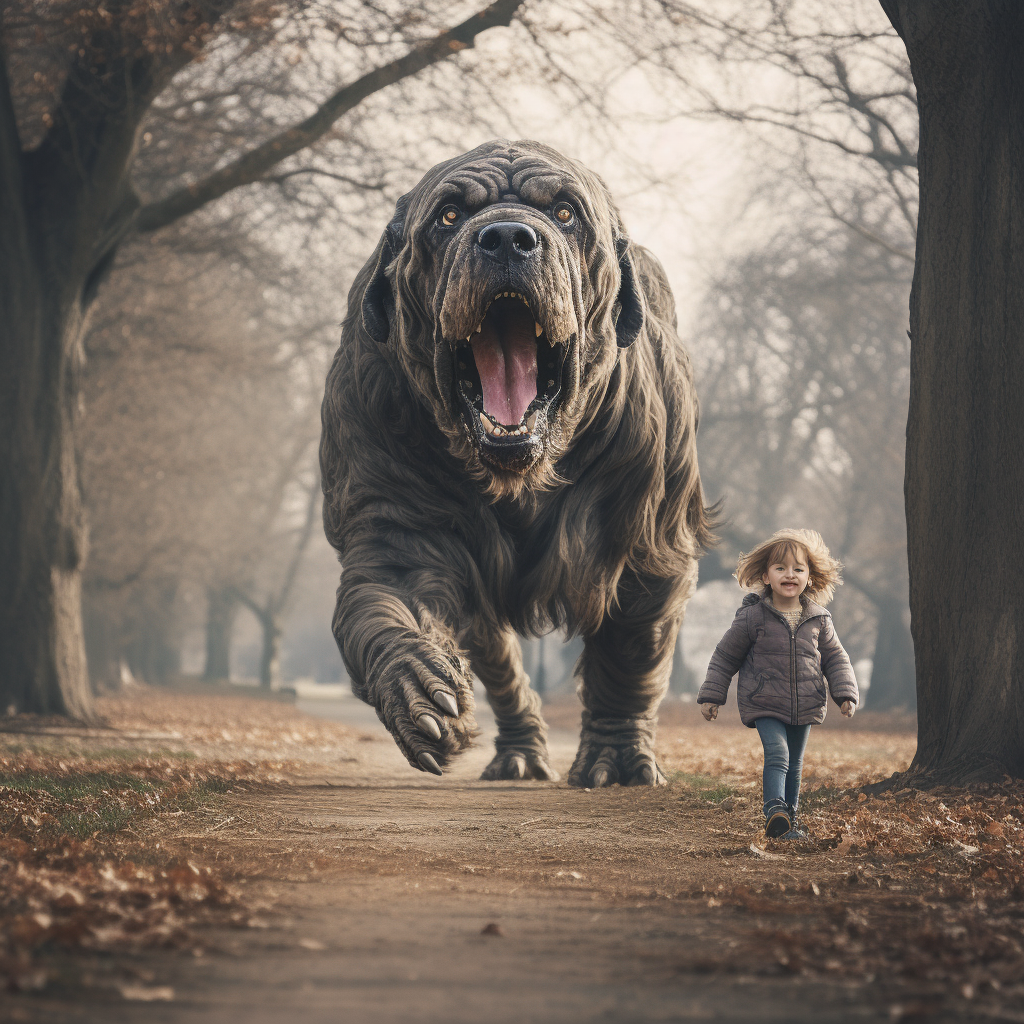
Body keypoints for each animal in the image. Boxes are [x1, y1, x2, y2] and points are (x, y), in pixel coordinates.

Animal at [321, 142, 712, 782]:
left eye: (565, 212)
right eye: (449, 215)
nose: (507, 236)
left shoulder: (647, 531)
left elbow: (629, 657)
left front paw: (617, 755)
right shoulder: (392, 502)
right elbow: (383, 608)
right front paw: (419, 691)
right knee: (500, 665)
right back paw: (519, 752)